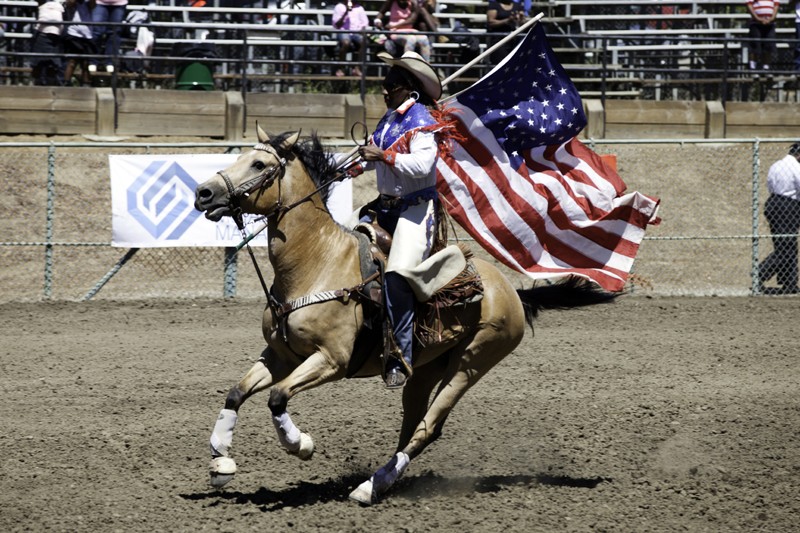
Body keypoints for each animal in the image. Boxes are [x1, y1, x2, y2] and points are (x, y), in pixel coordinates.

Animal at [194, 124, 620, 502]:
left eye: (259, 164)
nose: (203, 193)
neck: (315, 264)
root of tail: (509, 291)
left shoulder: (331, 360)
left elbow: (278, 397)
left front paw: (300, 445)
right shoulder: (280, 356)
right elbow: (236, 393)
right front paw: (221, 461)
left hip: (471, 363)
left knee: (428, 427)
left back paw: (369, 488)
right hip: (425, 369)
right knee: (413, 425)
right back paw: (380, 481)